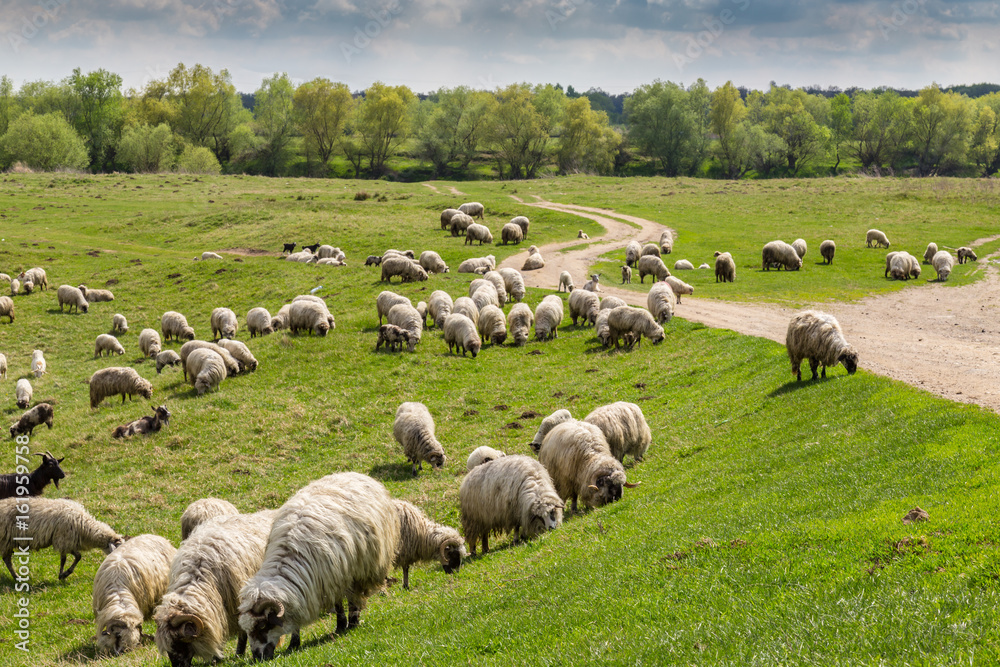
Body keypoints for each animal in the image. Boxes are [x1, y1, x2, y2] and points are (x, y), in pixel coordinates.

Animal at [237, 474, 398, 660]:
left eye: (262, 626)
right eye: (247, 629)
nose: (257, 657)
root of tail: (354, 473)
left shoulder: (335, 578)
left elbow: (339, 603)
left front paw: (344, 625)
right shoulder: (312, 587)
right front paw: (295, 643)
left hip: (360, 568)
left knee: (354, 596)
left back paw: (354, 621)